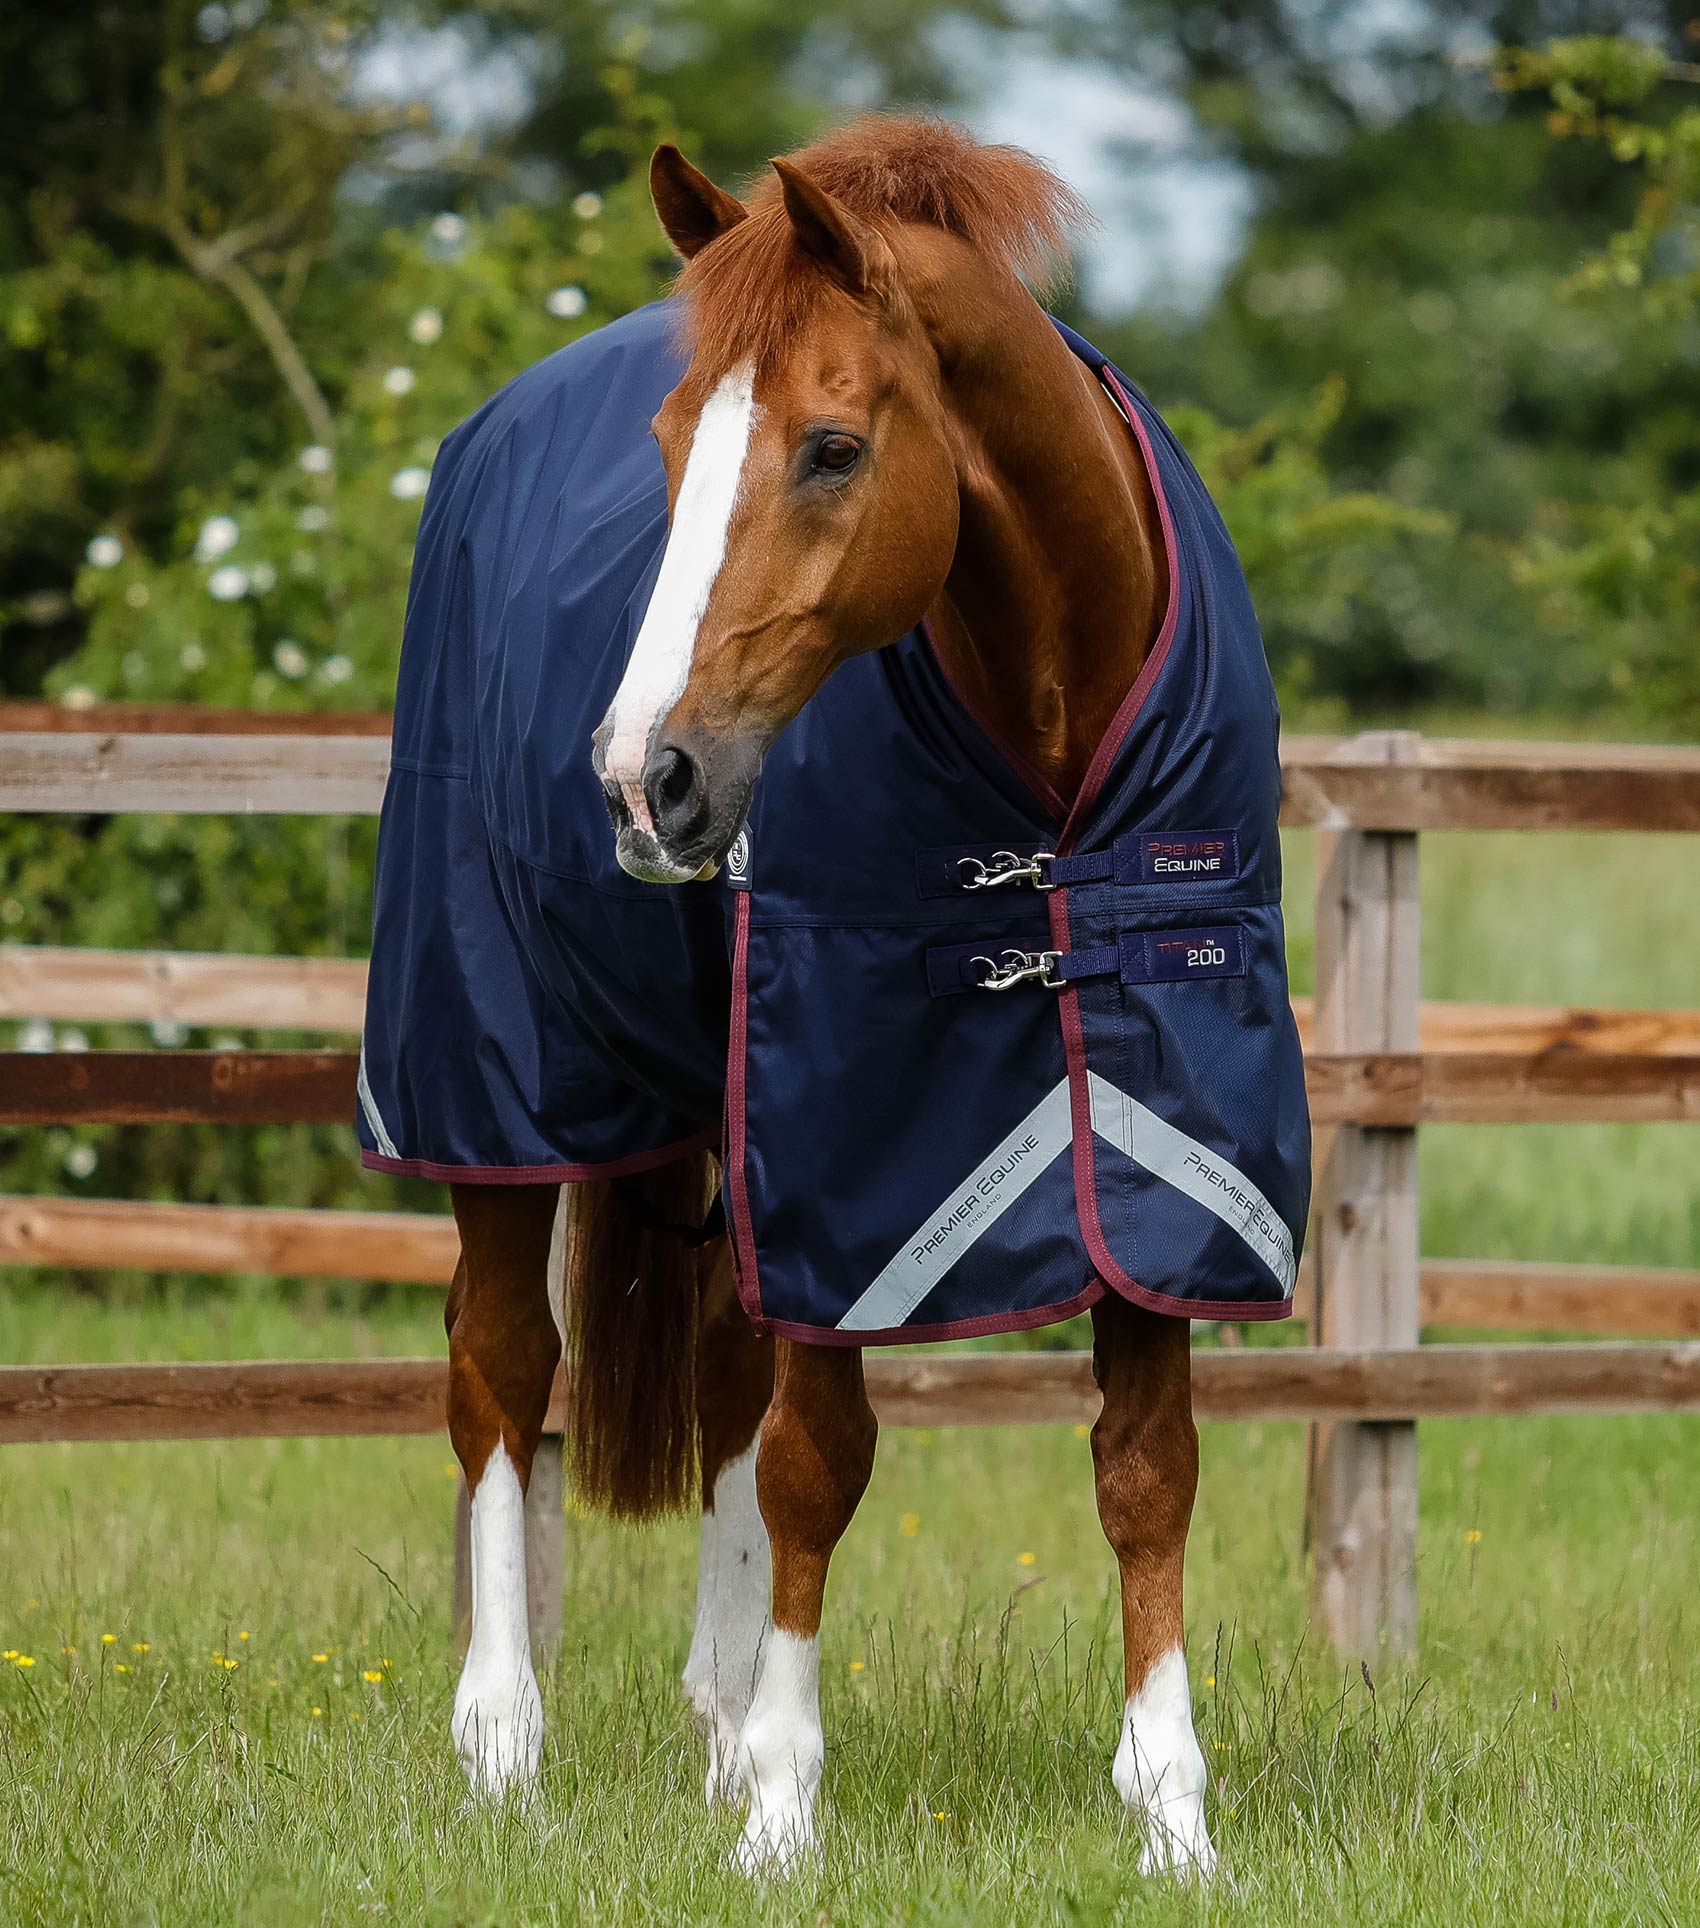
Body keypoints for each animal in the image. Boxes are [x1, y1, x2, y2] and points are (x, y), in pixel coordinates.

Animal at [415, 116, 1298, 1881]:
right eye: (670, 444)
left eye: (830, 449)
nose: (643, 777)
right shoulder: (847, 1143)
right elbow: (822, 1466)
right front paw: (782, 1812)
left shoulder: (1162, 1143)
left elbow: (1147, 1471)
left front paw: (1173, 1813)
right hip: (500, 1086)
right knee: (503, 1376)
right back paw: (503, 1742)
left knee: (718, 1388)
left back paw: (704, 1726)